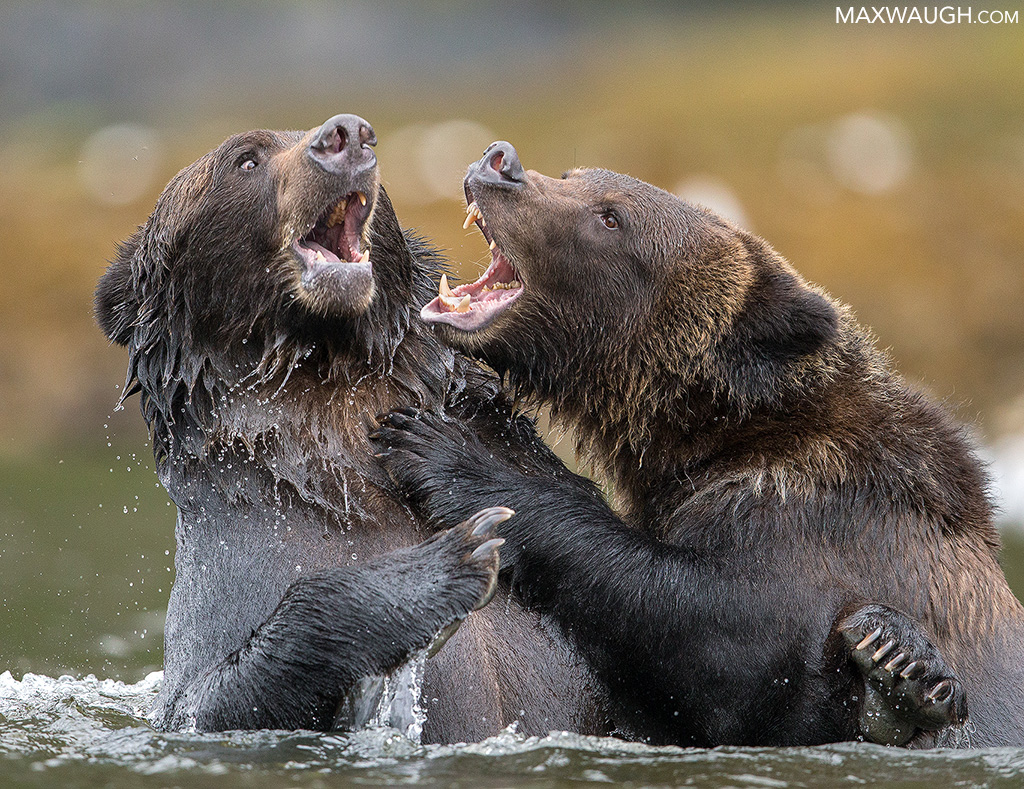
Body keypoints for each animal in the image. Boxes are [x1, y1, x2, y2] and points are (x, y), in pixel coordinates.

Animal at [369, 141, 1021, 747]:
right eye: (574, 175)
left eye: (610, 217)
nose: (499, 163)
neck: (714, 431)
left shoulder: (814, 519)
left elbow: (715, 633)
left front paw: (443, 452)